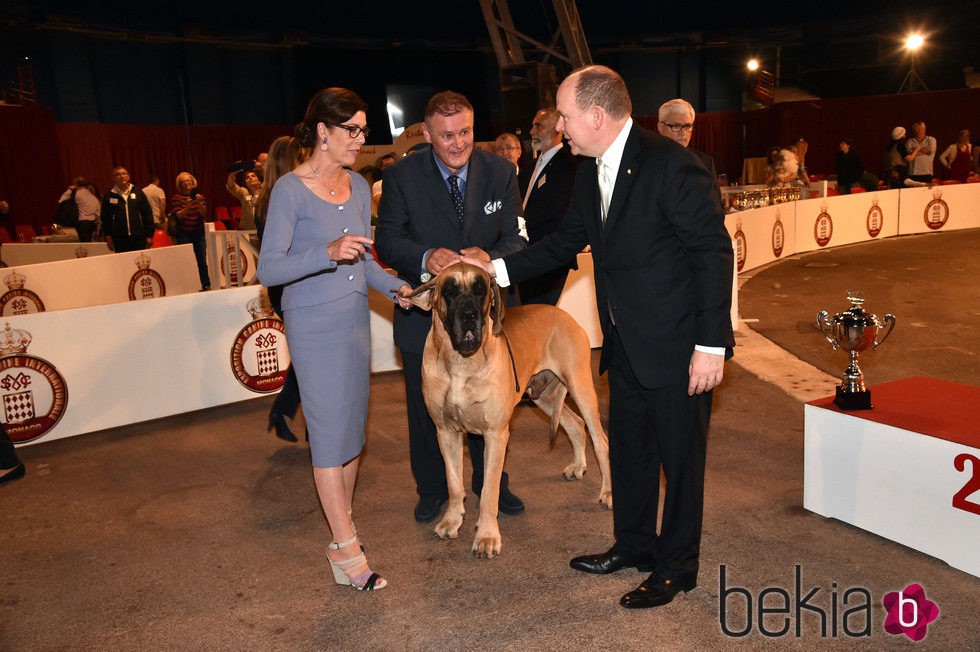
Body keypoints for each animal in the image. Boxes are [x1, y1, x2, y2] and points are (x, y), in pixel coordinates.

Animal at [402, 262, 608, 556]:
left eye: (481, 290)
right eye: (449, 291)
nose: (469, 315)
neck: (460, 363)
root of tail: (564, 314)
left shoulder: (496, 435)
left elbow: (489, 491)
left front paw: (487, 537)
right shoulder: (446, 432)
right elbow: (453, 482)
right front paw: (452, 520)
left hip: (580, 385)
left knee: (600, 438)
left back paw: (608, 493)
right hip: (542, 396)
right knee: (575, 424)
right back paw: (578, 466)